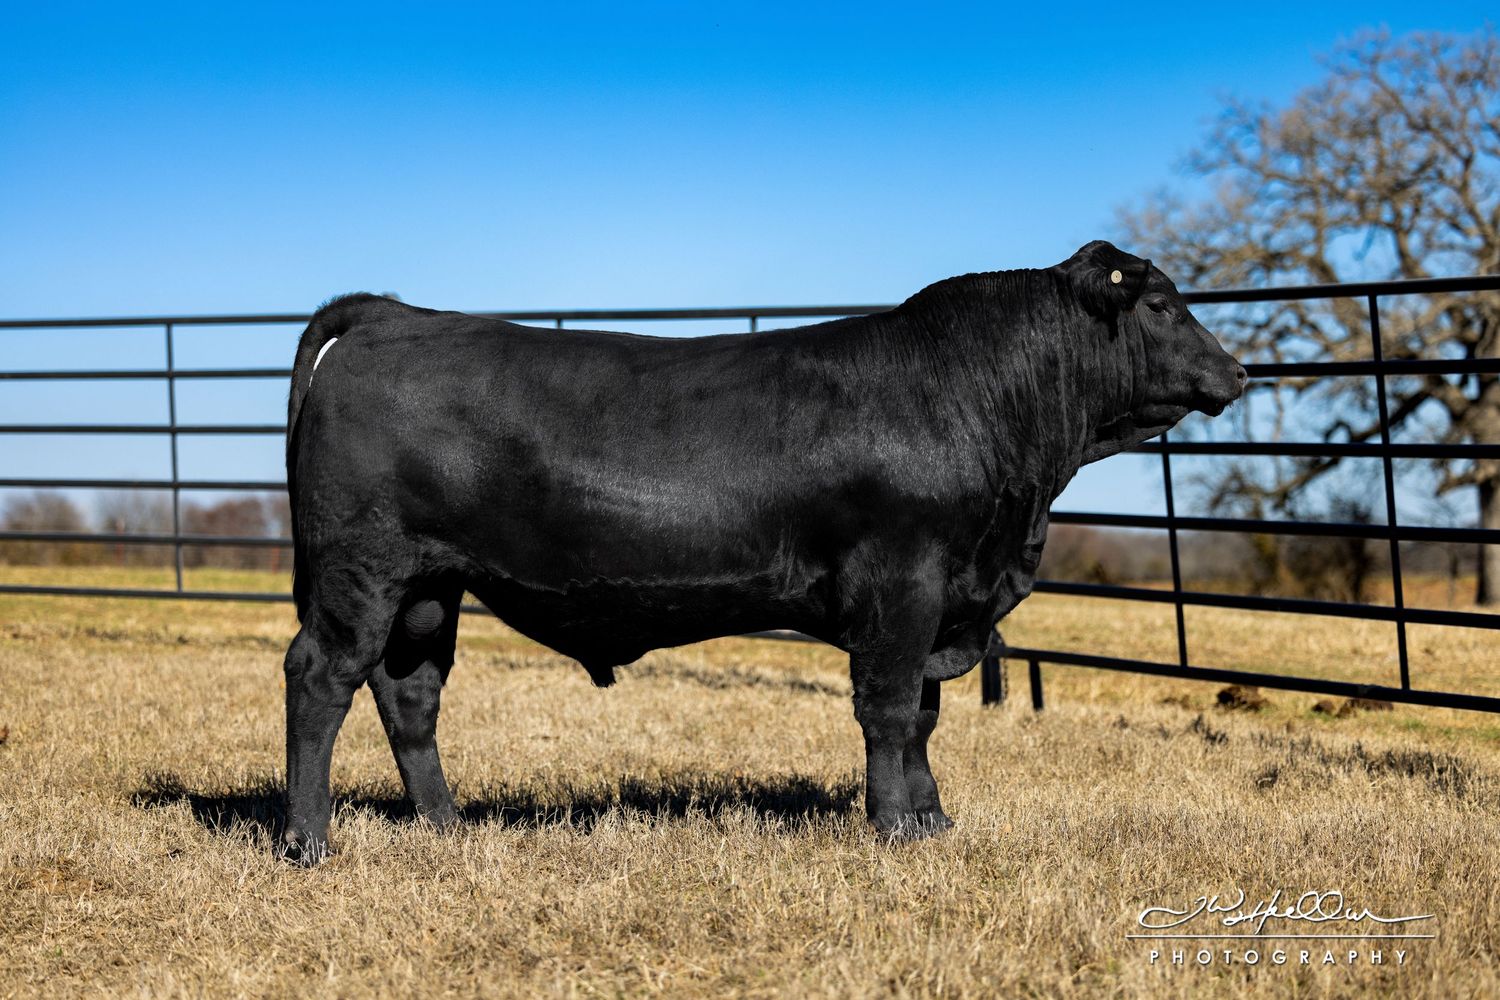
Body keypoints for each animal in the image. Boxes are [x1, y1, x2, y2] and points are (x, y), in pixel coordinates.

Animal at [276, 240, 1245, 864]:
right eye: (1163, 305)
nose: (1237, 373)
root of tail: (392, 313)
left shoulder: (944, 601)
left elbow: (924, 716)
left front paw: (933, 821)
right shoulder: (904, 586)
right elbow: (889, 710)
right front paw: (894, 829)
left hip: (428, 590)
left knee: (410, 694)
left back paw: (443, 826)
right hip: (361, 572)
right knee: (320, 678)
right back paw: (309, 841)